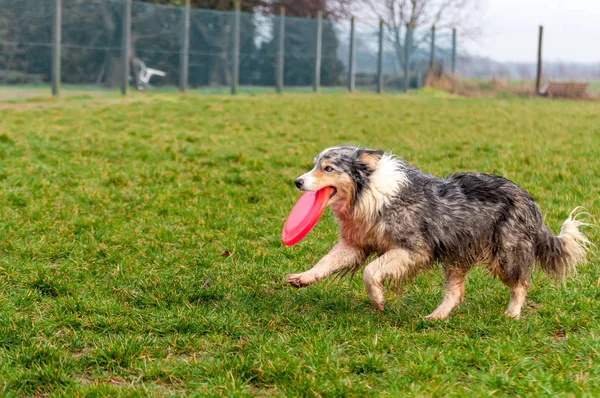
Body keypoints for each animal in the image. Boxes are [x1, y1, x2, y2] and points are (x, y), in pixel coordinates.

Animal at [288, 145, 592, 318]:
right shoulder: (356, 243)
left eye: (328, 168)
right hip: (457, 252)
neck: (368, 191)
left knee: (521, 283)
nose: (297, 182)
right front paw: (302, 277)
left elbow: (370, 271)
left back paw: (512, 314)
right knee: (456, 293)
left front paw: (378, 299)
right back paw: (435, 317)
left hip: (505, 253)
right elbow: (326, 262)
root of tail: (530, 201)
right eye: (315, 165)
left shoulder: (414, 249)